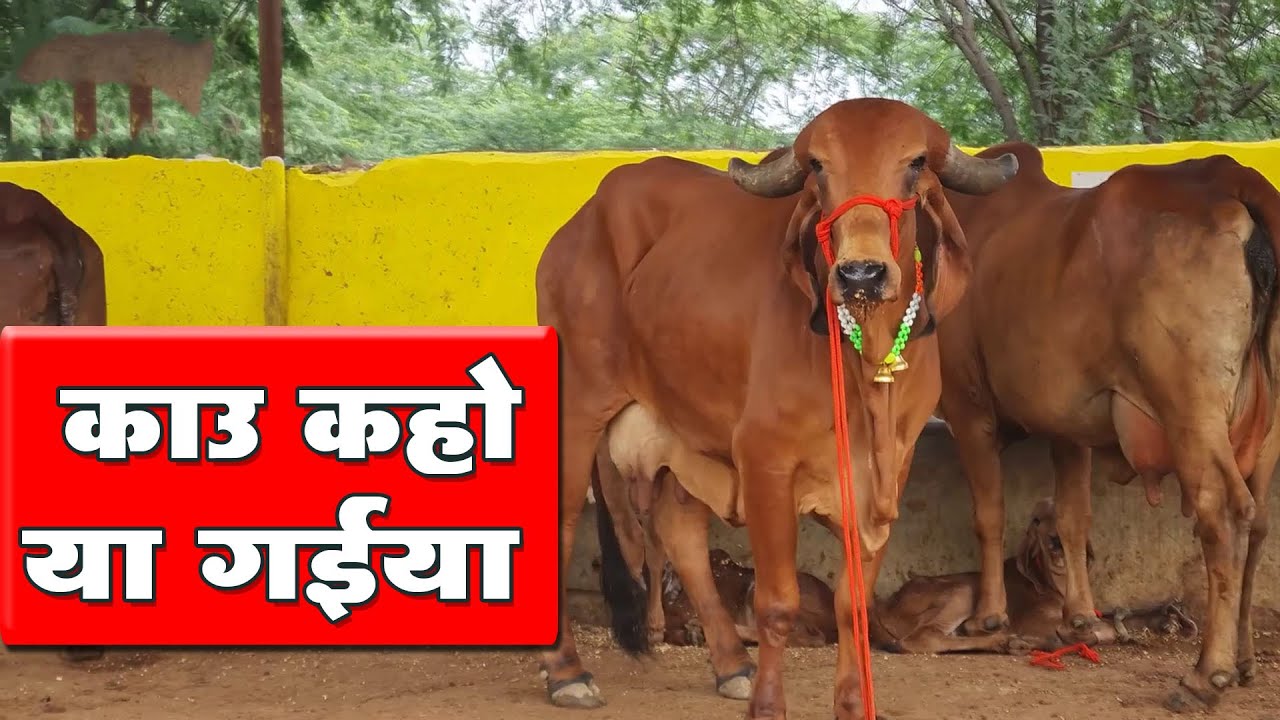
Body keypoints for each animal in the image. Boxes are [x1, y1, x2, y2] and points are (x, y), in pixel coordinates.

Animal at [534, 97, 1019, 719]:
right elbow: (778, 603)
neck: (866, 365)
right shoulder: (764, 462)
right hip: (578, 410)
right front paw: (768, 705)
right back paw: (567, 672)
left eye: (915, 163)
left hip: (687, 431)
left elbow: (851, 605)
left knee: (680, 533)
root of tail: (581, 222)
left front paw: (851, 703)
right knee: (564, 525)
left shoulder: (889, 474)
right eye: (818, 167)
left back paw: (730, 665)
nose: (861, 273)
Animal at [869, 497, 1198, 655]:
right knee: (921, 638)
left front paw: (1165, 617)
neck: (1057, 586)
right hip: (963, 590)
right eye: (1037, 520)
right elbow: (1099, 631)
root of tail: (883, 606)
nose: (1055, 542)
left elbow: (1110, 619)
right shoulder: (1035, 618)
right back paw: (1009, 641)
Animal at [929, 142, 1279, 712]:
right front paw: (1079, 618)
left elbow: (988, 514)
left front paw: (989, 616)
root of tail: (1231, 175)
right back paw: (1245, 659)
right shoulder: (1067, 429)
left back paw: (1207, 674)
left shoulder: (968, 406)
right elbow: (1073, 517)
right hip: (1266, 430)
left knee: (1224, 513)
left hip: (1191, 409)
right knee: (1261, 521)